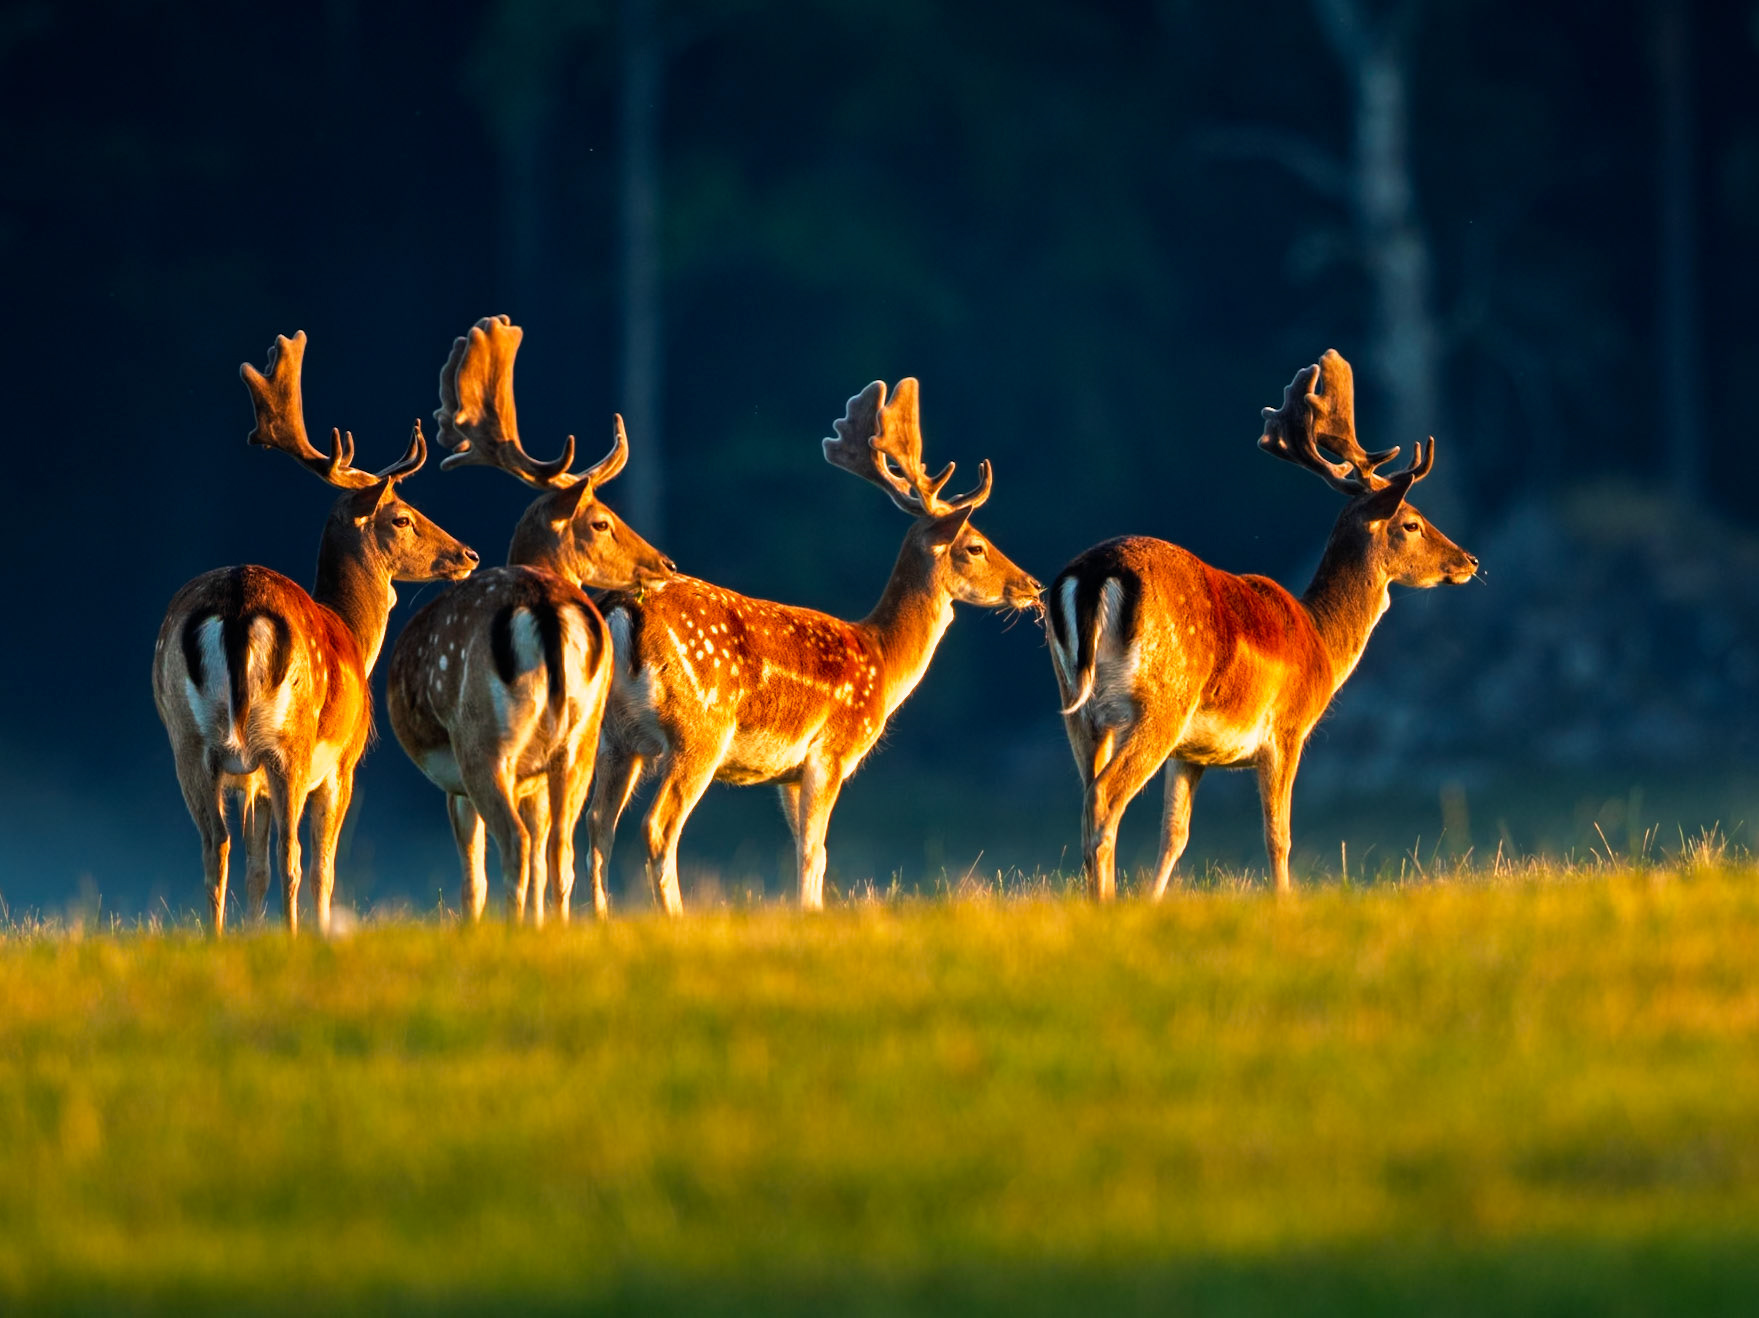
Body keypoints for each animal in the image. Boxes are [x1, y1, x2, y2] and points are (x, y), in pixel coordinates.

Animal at [151, 332, 480, 935]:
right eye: (401, 516)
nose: (467, 555)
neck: (352, 632)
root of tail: (236, 604)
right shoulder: (344, 761)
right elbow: (323, 865)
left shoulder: (250, 779)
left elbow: (254, 867)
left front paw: (252, 934)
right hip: (291, 742)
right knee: (293, 853)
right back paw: (293, 932)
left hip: (188, 739)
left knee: (217, 844)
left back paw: (215, 936)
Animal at [386, 315, 674, 925]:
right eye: (601, 521)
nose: (665, 564)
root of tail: (543, 609)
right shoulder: (537, 775)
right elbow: (546, 854)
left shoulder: (456, 781)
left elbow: (473, 874)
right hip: (581, 737)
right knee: (561, 846)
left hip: (483, 739)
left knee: (516, 845)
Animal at [587, 377, 1041, 913]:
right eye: (975, 546)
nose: (1033, 586)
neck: (882, 659)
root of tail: (621, 610)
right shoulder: (832, 751)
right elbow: (815, 852)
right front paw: (811, 912)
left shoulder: (788, 773)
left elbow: (803, 847)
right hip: (698, 728)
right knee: (657, 826)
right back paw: (673, 916)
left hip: (615, 736)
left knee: (597, 825)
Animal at [1046, 349, 1478, 900]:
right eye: (1412, 523)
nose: (1468, 560)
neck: (1321, 641)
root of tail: (1091, 574)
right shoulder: (1287, 730)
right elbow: (1279, 835)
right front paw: (1283, 901)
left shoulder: (1192, 753)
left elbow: (1175, 836)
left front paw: (1154, 902)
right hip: (1161, 701)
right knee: (1106, 798)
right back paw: (1105, 904)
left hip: (1078, 708)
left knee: (1086, 799)